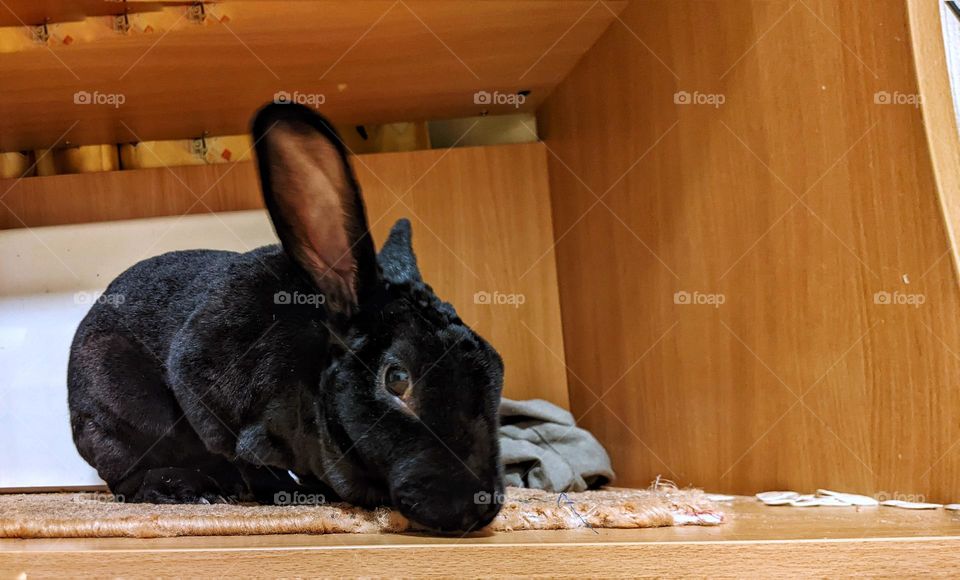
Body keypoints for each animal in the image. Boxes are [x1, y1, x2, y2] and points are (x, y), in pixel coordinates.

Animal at [67, 103, 505, 532]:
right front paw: (289, 495)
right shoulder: (209, 396)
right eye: (397, 379)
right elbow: (246, 458)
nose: (480, 508)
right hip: (120, 417)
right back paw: (188, 490)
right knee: (127, 479)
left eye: (496, 364)